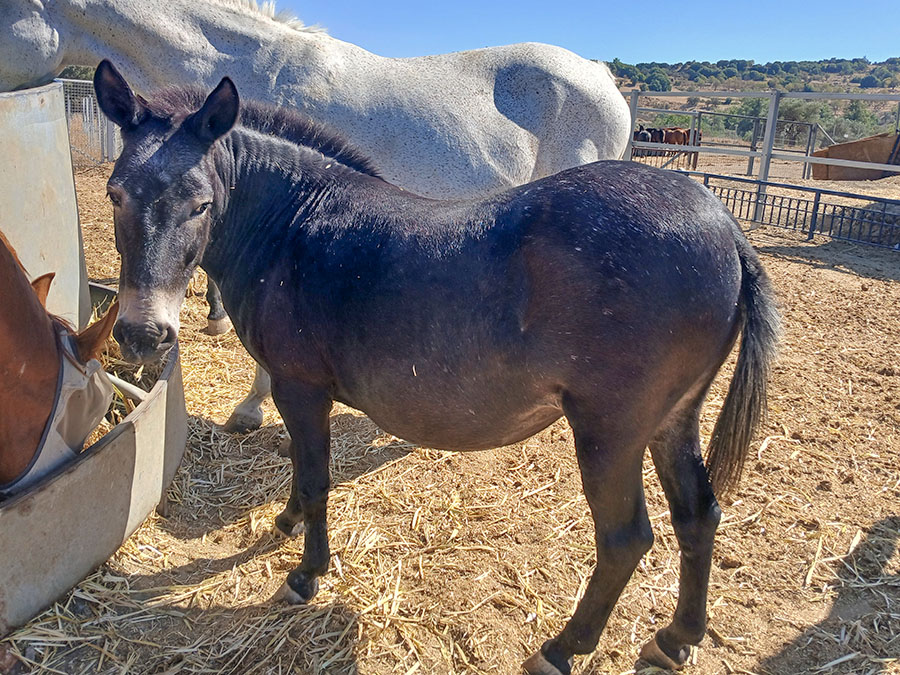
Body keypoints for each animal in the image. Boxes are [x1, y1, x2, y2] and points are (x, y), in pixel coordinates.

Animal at [94, 61, 779, 674]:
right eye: (115, 194)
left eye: (201, 203)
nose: (141, 334)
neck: (291, 226)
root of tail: (723, 225)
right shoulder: (297, 392)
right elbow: (301, 471)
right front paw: (285, 525)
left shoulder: (301, 387)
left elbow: (316, 479)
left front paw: (305, 574)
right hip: (671, 419)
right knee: (698, 515)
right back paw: (676, 639)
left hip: (611, 431)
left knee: (624, 539)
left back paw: (561, 649)